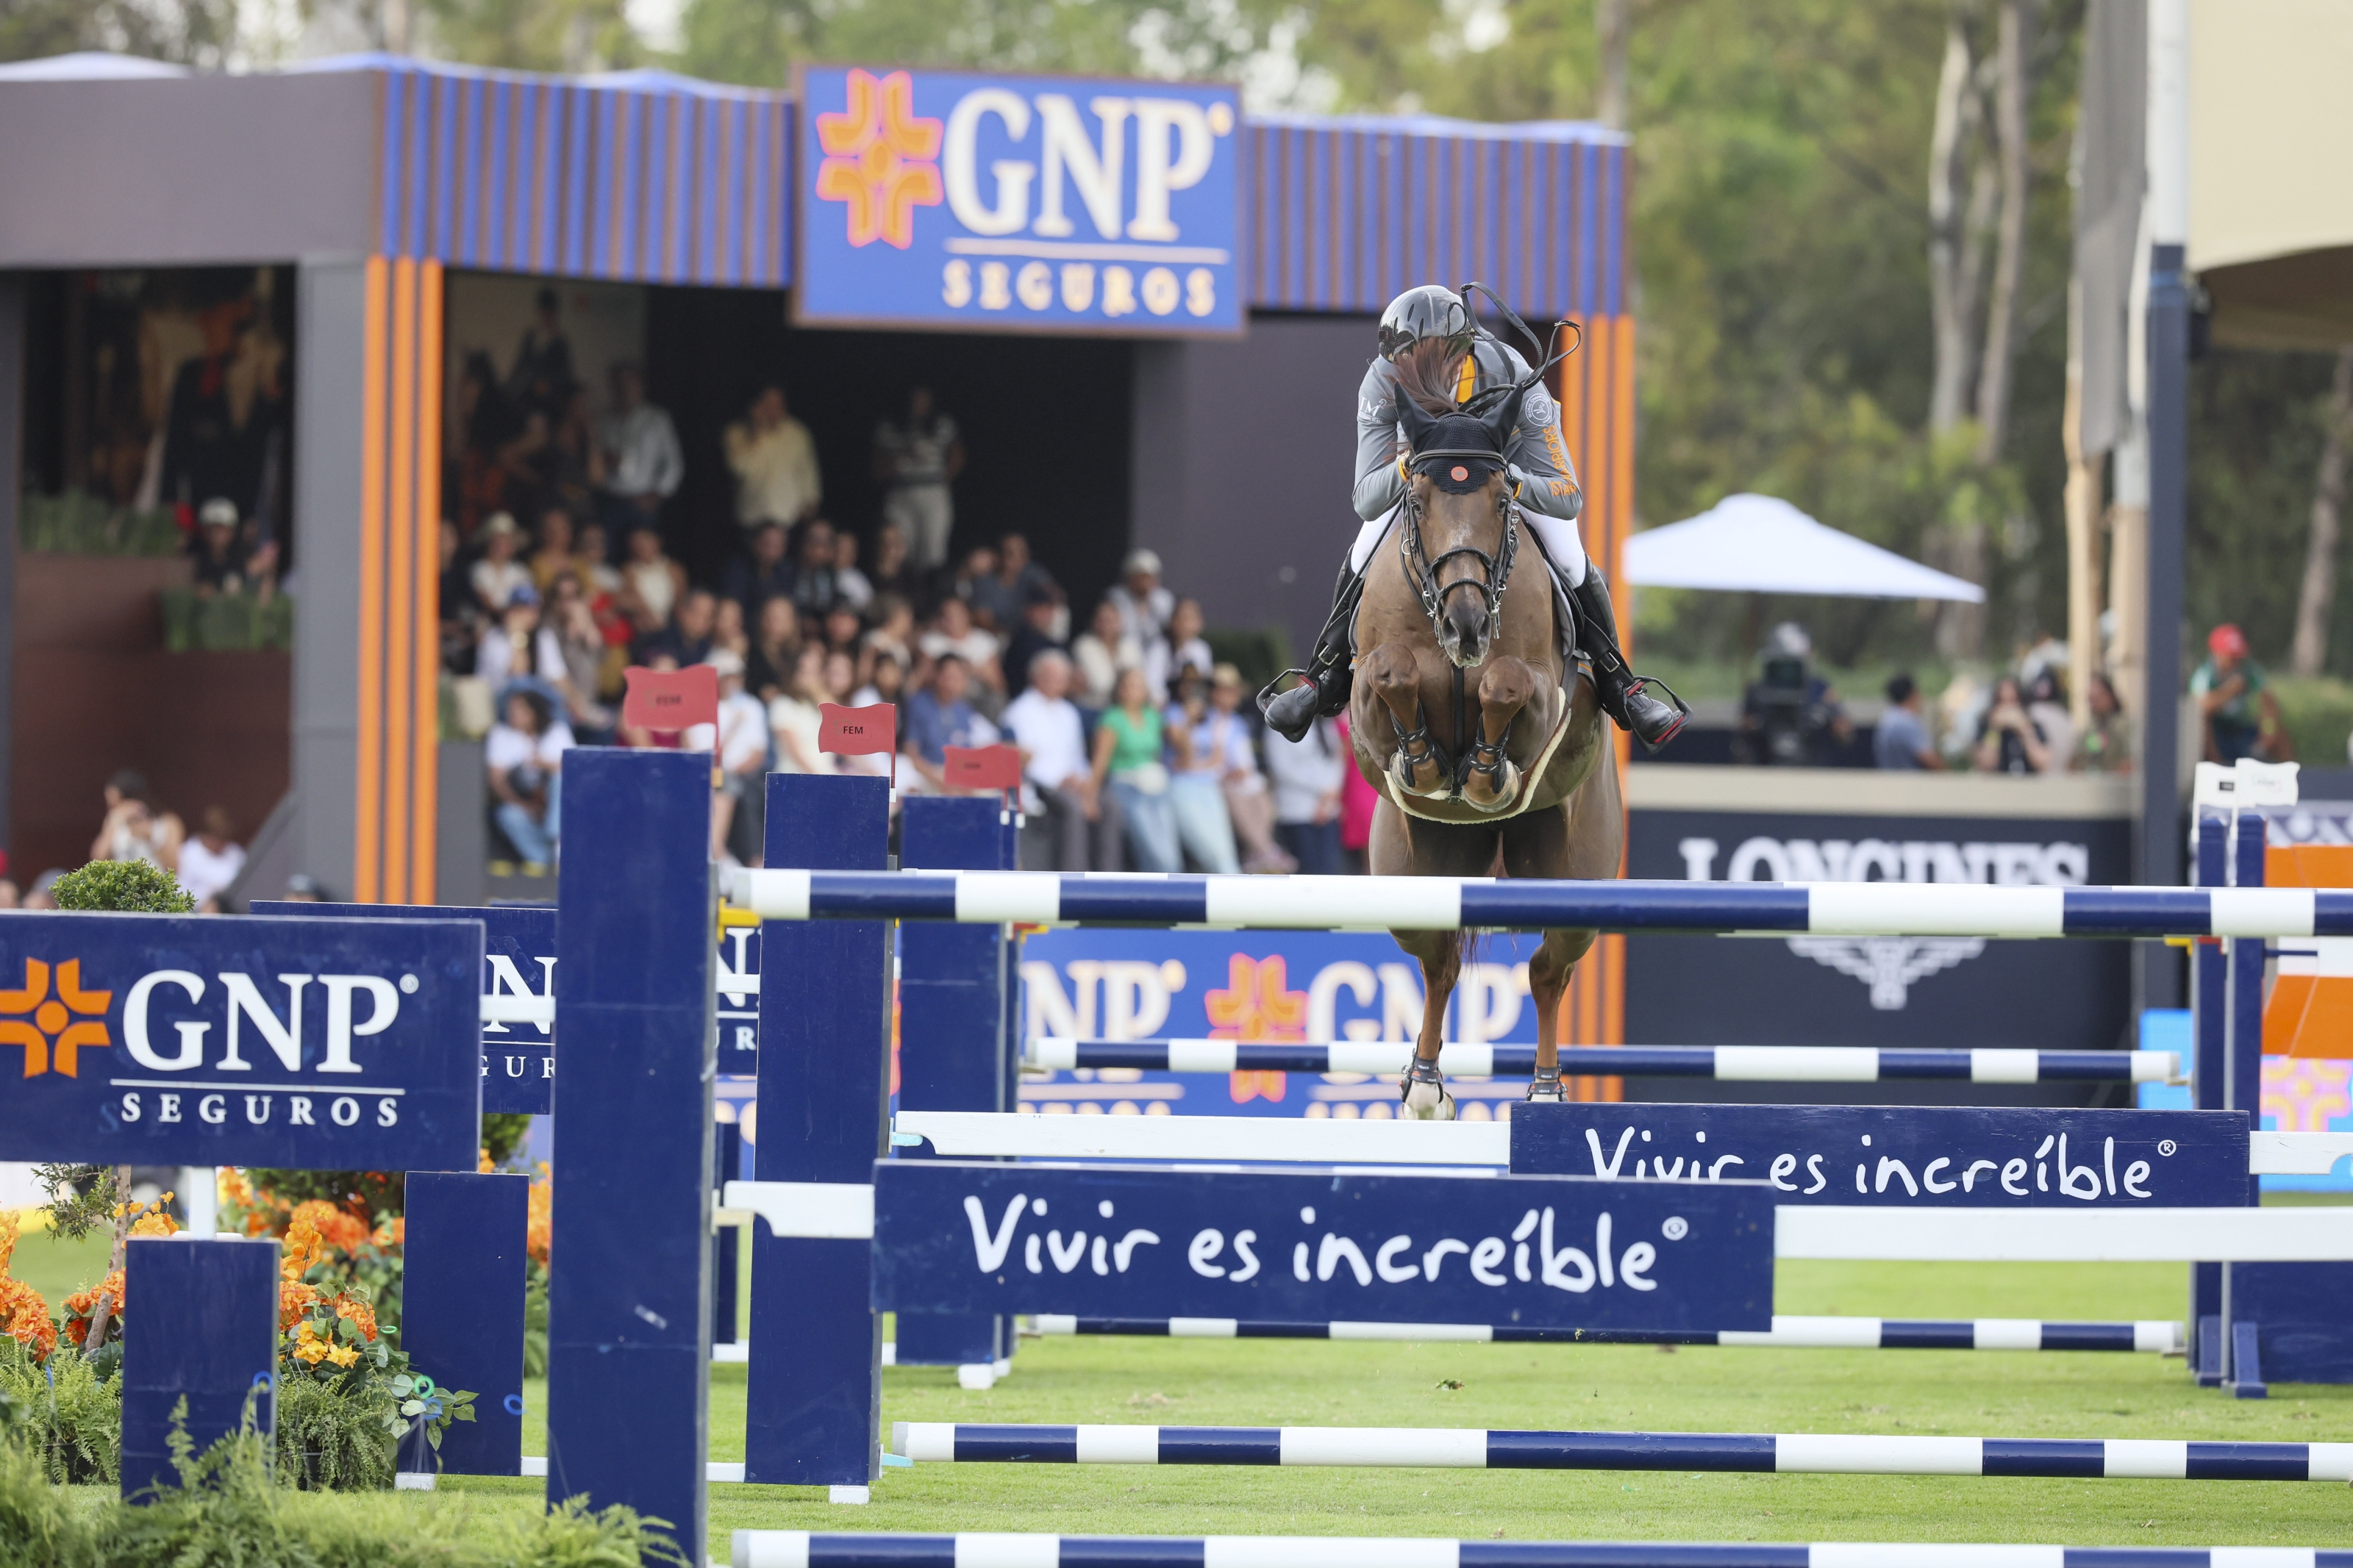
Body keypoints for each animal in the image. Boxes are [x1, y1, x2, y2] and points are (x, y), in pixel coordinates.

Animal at [1346, 352, 1623, 1119]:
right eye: (1416, 502)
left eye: (1502, 500)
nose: (1466, 625)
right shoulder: (1364, 699)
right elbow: (1391, 671)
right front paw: (1426, 765)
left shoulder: (1546, 696)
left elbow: (1505, 684)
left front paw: (1481, 772)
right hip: (1412, 875)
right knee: (1437, 963)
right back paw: (1425, 1084)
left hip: (1575, 873)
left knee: (1548, 971)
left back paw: (1546, 1089)